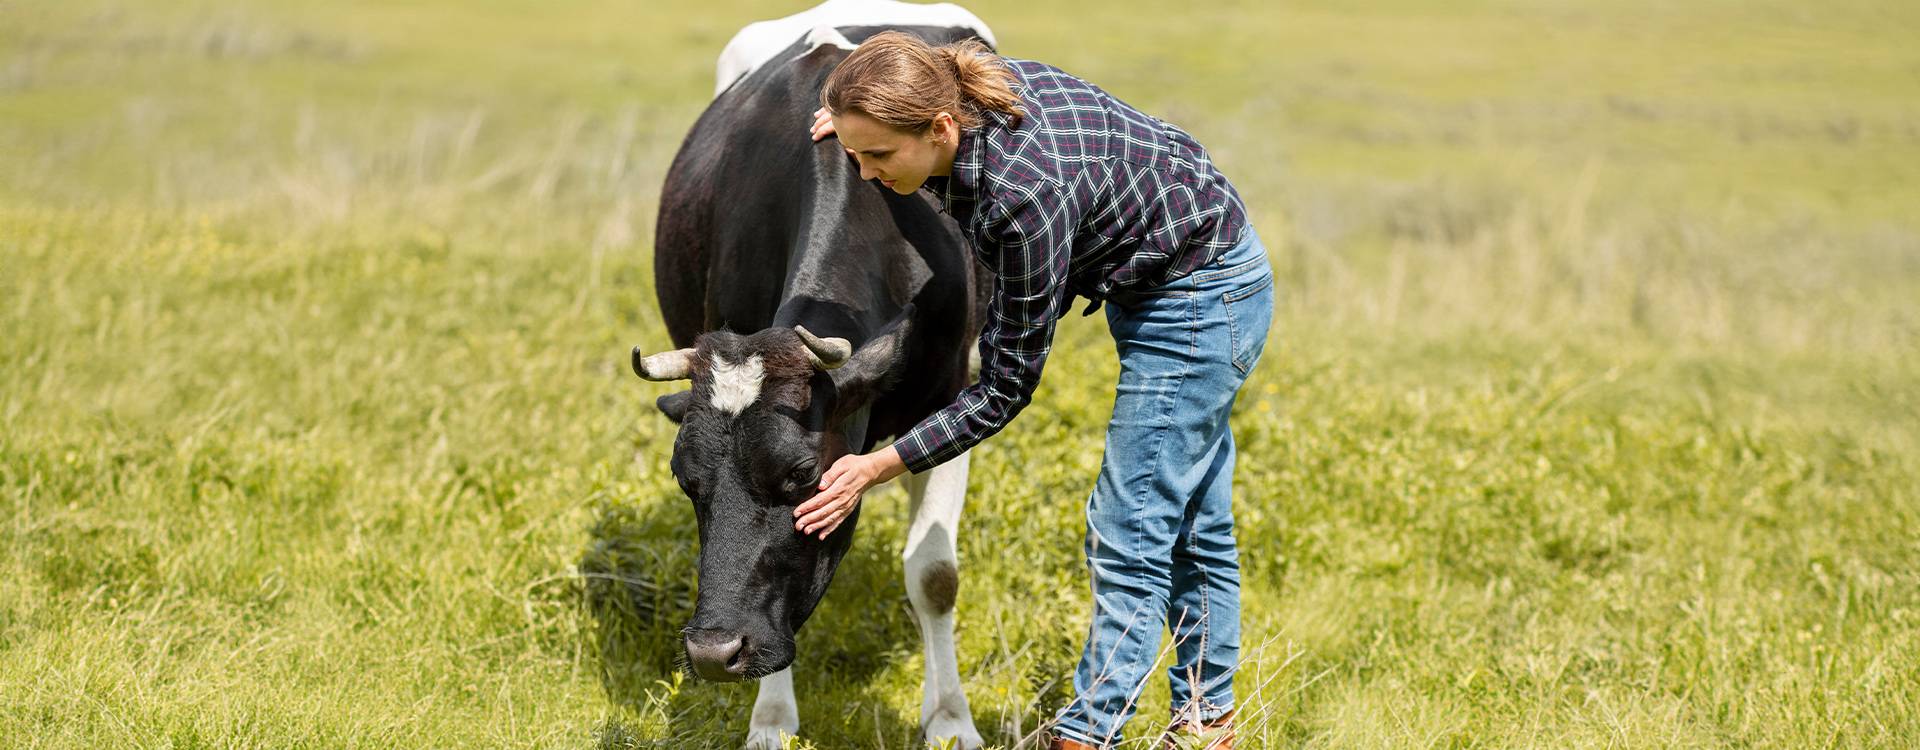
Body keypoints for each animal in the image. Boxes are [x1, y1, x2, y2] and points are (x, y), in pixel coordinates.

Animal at [637, 2, 1006, 748]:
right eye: (685, 480)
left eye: (802, 475)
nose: (713, 653)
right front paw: (772, 720)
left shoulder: (954, 398)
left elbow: (936, 574)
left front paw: (951, 719)